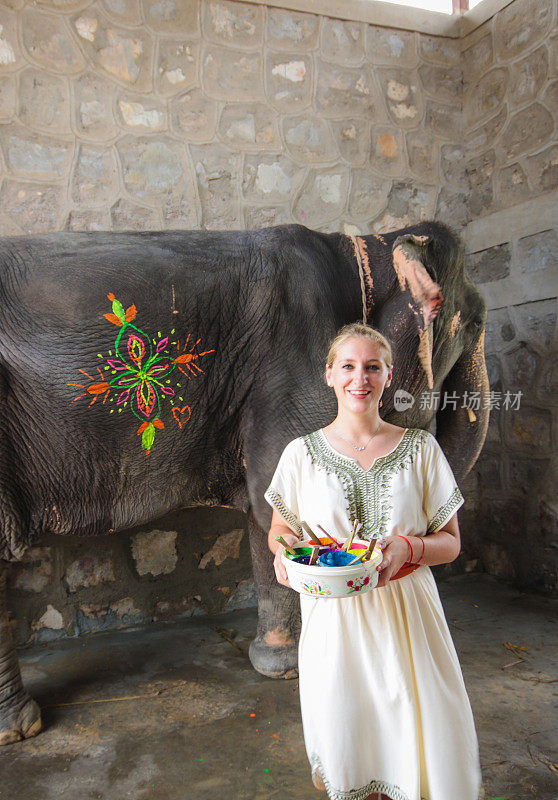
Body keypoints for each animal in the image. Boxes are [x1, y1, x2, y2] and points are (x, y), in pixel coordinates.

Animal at [0, 220, 490, 744]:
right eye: (476, 323)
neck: (364, 244)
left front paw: (277, 663)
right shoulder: (298, 366)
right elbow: (273, 501)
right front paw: (292, 667)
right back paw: (22, 728)